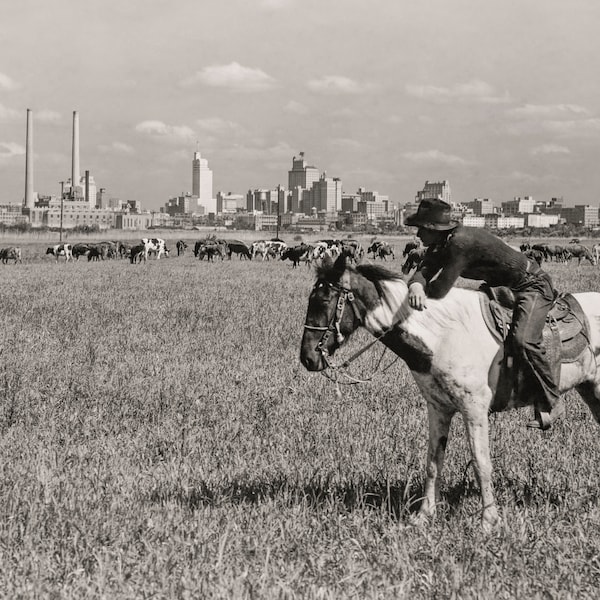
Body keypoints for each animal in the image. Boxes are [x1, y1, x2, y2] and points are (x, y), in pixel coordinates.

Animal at [300, 255, 600, 532]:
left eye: (324, 301)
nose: (307, 358)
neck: (442, 335)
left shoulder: (474, 410)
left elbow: (481, 463)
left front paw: (489, 521)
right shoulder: (438, 409)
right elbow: (434, 462)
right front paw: (424, 515)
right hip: (590, 390)